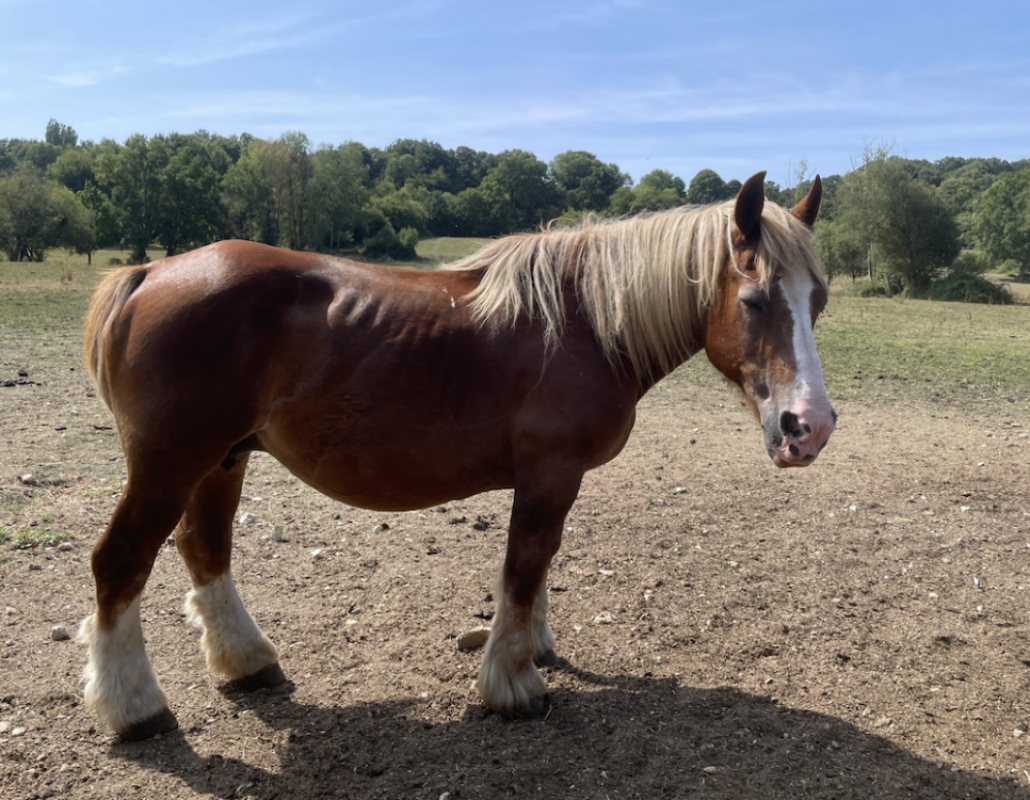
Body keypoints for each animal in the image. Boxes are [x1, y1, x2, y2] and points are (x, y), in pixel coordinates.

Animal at [78, 171, 835, 741]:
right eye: (754, 299)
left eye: (819, 301)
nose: (810, 427)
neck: (585, 322)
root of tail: (151, 273)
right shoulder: (549, 473)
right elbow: (524, 567)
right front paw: (513, 682)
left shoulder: (549, 478)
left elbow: (538, 566)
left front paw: (534, 644)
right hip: (171, 464)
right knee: (120, 563)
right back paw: (135, 707)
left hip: (223, 460)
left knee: (204, 549)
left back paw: (245, 662)